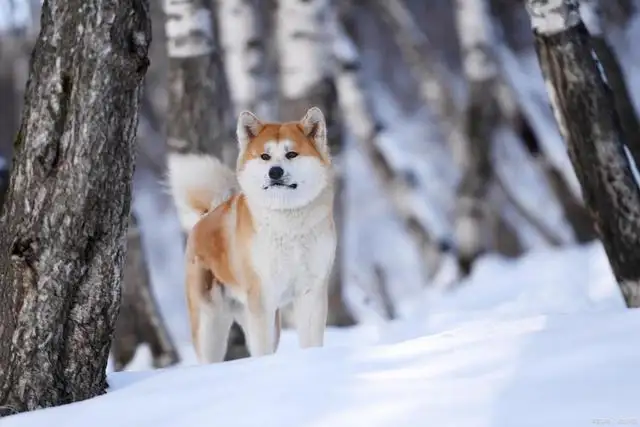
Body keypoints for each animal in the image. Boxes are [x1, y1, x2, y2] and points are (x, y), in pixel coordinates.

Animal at [166, 107, 336, 364]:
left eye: (292, 154)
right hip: (210, 323)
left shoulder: (310, 290)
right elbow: (262, 349)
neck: (288, 223)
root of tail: (206, 216)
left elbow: (311, 340)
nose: (275, 172)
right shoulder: (262, 295)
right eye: (265, 156)